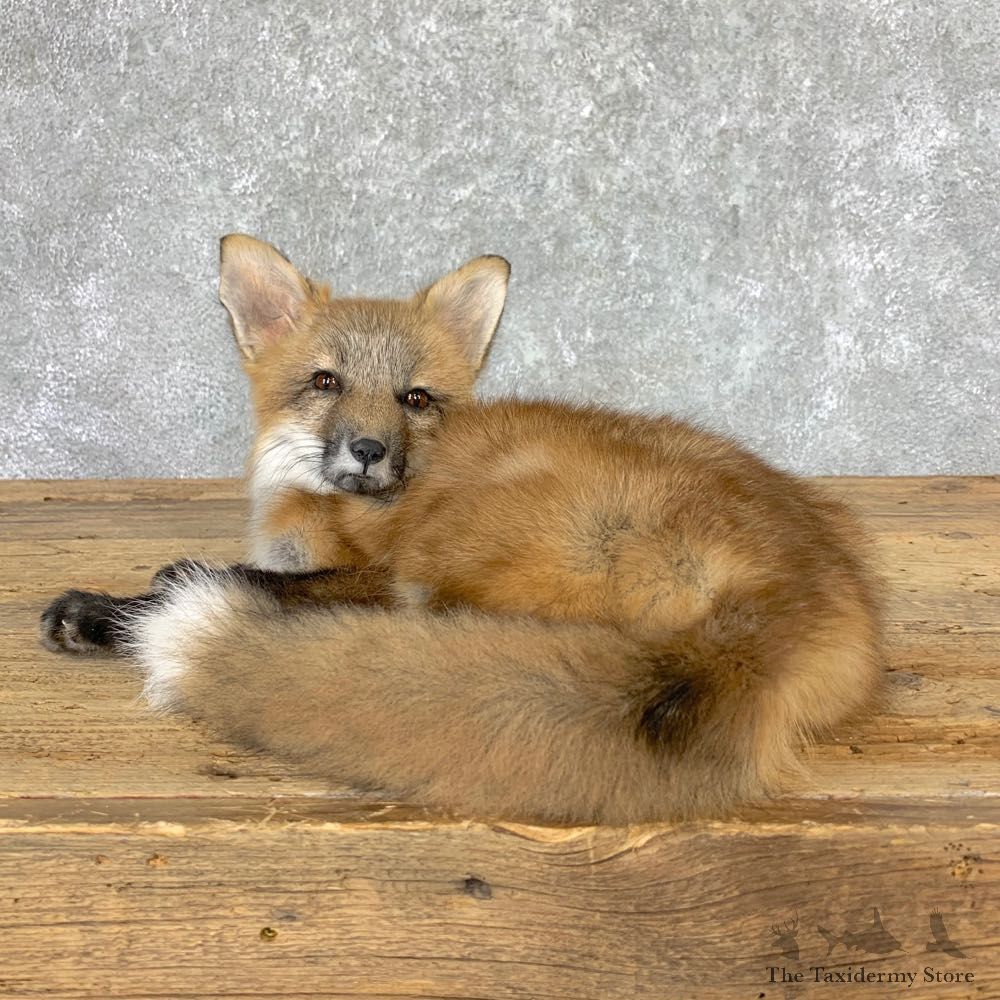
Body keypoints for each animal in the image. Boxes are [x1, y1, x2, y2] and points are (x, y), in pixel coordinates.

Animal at [40, 235, 884, 825]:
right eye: (324, 381)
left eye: (414, 397)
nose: (369, 451)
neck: (320, 505)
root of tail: (796, 595)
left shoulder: (373, 570)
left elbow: (221, 577)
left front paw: (102, 609)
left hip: (455, 549)